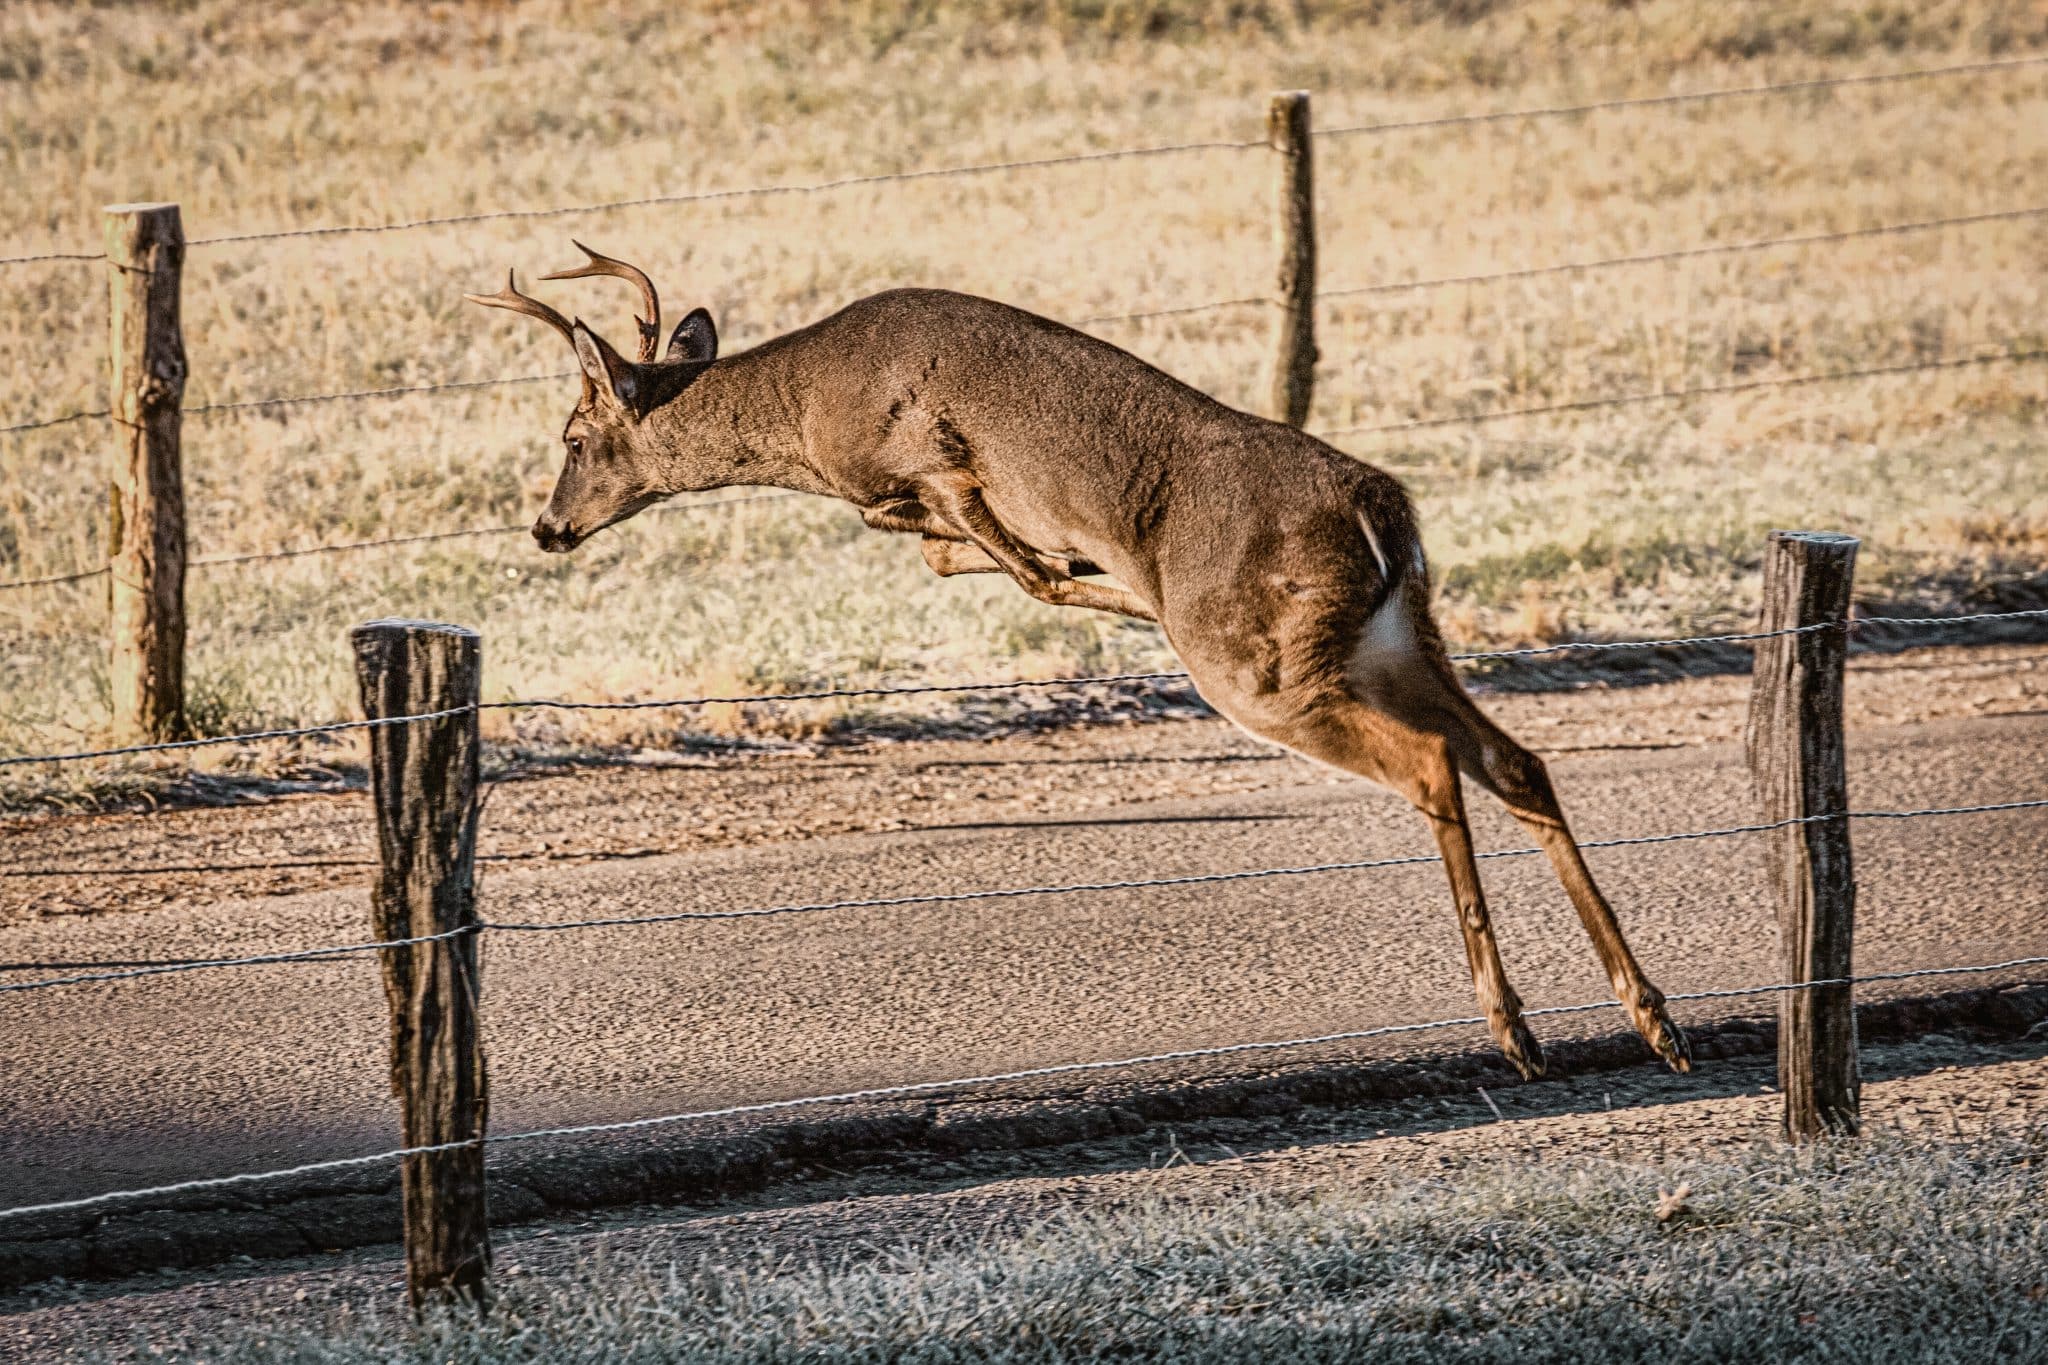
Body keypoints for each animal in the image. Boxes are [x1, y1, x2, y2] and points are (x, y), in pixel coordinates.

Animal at [468, 245, 1695, 1080]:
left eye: (572, 439)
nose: (546, 527)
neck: (807, 415)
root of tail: (1377, 507)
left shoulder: (937, 460)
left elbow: (1009, 565)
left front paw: (1089, 577)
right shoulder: (935, 505)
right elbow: (967, 561)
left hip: (1258, 666)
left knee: (1431, 767)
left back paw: (1518, 1030)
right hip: (1397, 636)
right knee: (1515, 761)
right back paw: (1653, 1018)